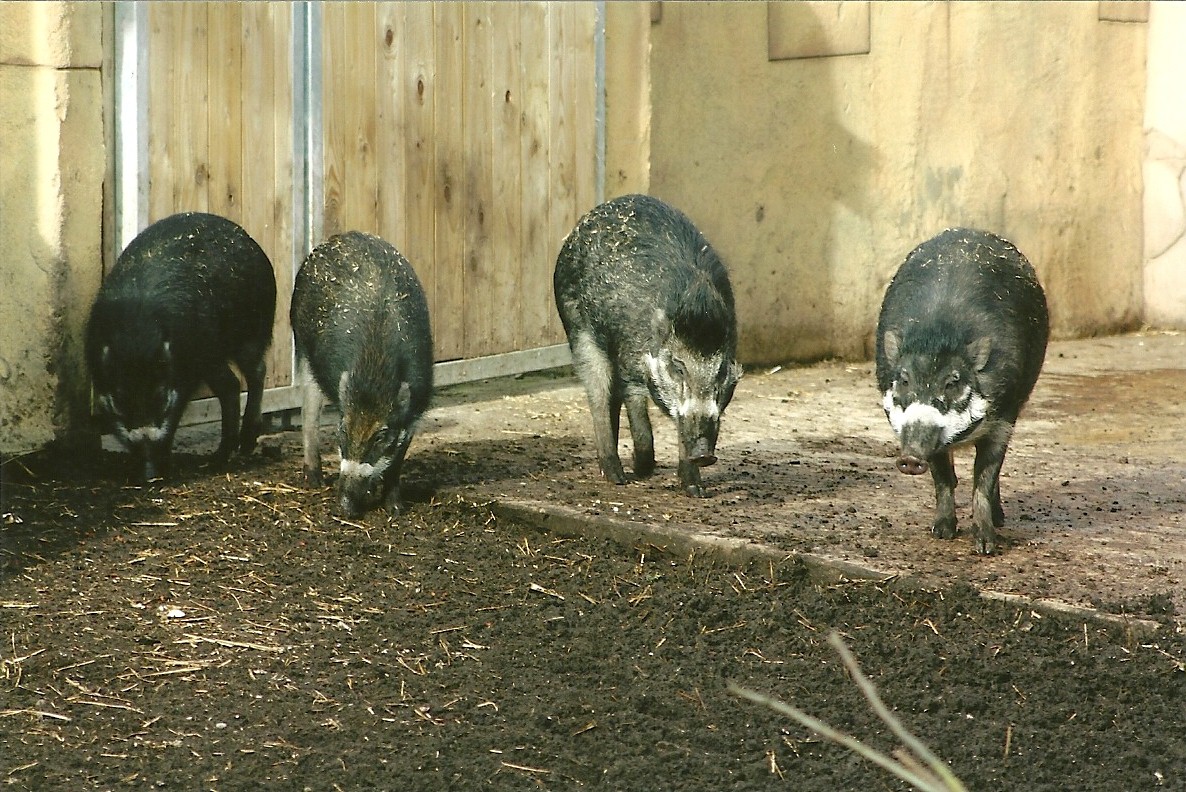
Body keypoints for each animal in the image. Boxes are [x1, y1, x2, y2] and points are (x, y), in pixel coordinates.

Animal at [85, 212, 276, 481]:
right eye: (121, 400)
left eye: (161, 397)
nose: (150, 474)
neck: (136, 336)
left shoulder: (185, 374)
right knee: (236, 381)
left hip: (246, 334)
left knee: (249, 376)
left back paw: (230, 453)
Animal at [290, 231, 433, 518]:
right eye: (343, 429)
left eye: (381, 435)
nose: (345, 507)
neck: (374, 377)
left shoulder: (413, 413)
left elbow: (396, 462)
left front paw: (396, 510)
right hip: (303, 348)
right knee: (308, 413)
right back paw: (314, 480)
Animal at [554, 194, 742, 497]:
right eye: (678, 368)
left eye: (722, 370)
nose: (704, 454)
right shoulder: (629, 360)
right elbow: (634, 404)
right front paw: (640, 469)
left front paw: (696, 491)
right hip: (579, 332)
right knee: (599, 394)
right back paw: (617, 475)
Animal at [875, 227, 1049, 554]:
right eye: (904, 380)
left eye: (953, 382)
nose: (910, 458)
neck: (938, 336)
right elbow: (943, 477)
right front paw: (942, 533)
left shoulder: (1003, 419)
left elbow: (984, 477)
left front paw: (985, 547)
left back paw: (1000, 519)